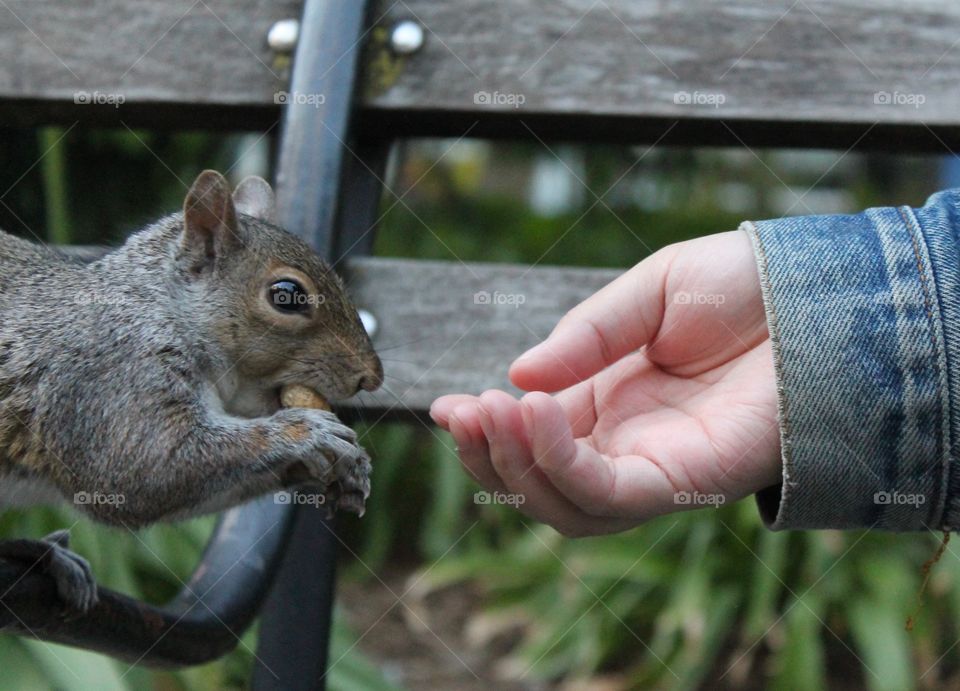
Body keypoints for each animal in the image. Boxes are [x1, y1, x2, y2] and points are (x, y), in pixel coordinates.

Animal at [0, 170, 382, 614]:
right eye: (287, 295)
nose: (371, 377)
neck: (164, 312)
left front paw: (342, 470)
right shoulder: (111, 377)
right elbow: (139, 470)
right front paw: (306, 432)